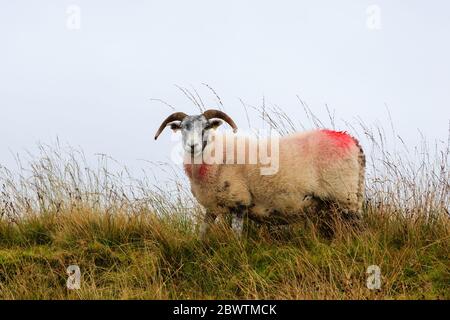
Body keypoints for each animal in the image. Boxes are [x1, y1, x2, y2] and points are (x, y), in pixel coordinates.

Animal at [155, 110, 366, 238]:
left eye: (206, 127)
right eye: (183, 127)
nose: (193, 146)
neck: (217, 157)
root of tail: (353, 142)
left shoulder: (239, 200)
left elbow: (236, 236)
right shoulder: (212, 207)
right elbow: (202, 233)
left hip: (345, 195)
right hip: (337, 201)